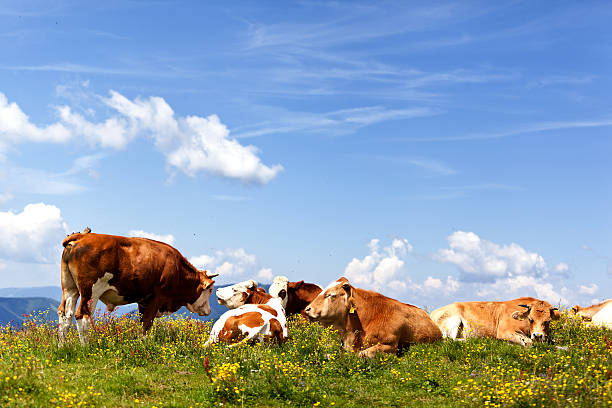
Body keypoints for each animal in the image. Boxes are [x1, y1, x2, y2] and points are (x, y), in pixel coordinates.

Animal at [55, 233, 218, 344]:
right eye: (210, 290)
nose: (209, 310)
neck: (177, 268)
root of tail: (82, 236)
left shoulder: (143, 301)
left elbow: (142, 323)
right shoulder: (157, 297)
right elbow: (147, 323)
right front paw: (144, 345)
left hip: (70, 288)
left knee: (65, 315)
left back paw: (62, 346)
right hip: (90, 291)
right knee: (82, 316)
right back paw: (85, 347)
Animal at [430, 296, 560, 348]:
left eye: (548, 321)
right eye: (530, 319)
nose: (537, 335)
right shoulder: (505, 331)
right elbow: (528, 342)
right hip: (453, 320)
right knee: (449, 340)